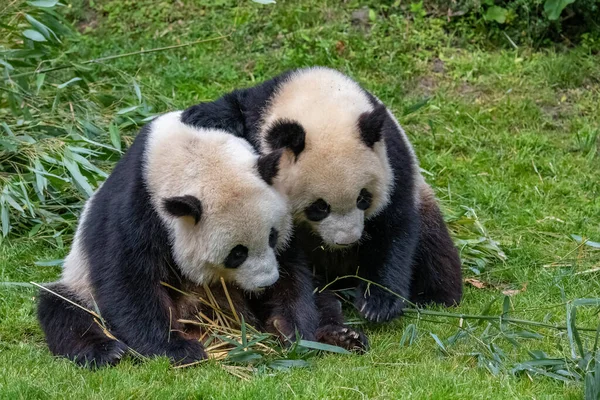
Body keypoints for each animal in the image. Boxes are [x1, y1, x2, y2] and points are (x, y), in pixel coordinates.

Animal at [37, 111, 330, 368]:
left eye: (272, 236)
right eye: (237, 253)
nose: (266, 283)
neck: (192, 151)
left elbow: (292, 269)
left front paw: (289, 328)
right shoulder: (137, 209)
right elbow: (128, 281)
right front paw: (178, 348)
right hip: (80, 282)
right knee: (63, 308)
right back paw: (107, 351)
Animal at [180, 66, 462, 322]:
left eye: (363, 198)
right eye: (319, 207)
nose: (347, 241)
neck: (323, 101)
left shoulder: (392, 158)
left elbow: (394, 226)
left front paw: (377, 303)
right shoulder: (260, 113)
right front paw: (199, 115)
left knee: (433, 246)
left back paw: (436, 296)